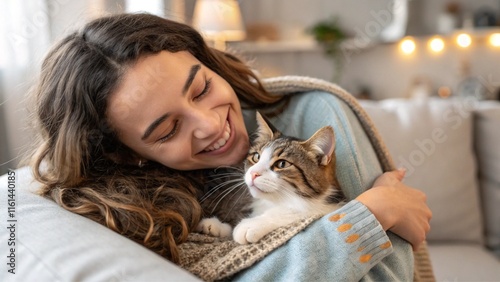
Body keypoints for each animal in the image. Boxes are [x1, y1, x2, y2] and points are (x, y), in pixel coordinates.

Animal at [197, 112, 346, 245]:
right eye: (256, 157)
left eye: (282, 164)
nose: (253, 173)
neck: (273, 201)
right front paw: (217, 226)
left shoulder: (328, 206)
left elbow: (297, 211)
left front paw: (252, 224)